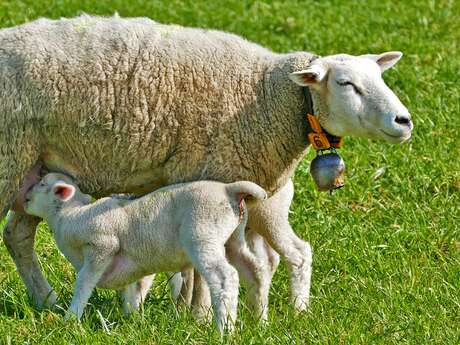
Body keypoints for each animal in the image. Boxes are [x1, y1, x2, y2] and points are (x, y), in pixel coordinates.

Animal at [0, 14, 414, 316]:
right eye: (346, 84)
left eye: (380, 78)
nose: (404, 121)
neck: (266, 94)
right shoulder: (203, 179)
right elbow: (197, 268)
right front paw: (198, 316)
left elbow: (196, 266)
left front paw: (190, 311)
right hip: (10, 157)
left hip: (33, 167)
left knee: (17, 235)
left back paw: (46, 301)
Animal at [25, 173, 268, 332]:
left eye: (42, 184)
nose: (25, 197)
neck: (69, 216)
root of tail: (228, 190)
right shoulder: (132, 264)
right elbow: (134, 289)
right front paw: (131, 319)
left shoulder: (103, 245)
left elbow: (84, 282)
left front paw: (71, 318)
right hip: (234, 238)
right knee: (255, 271)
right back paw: (259, 323)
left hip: (202, 235)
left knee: (225, 277)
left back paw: (224, 329)